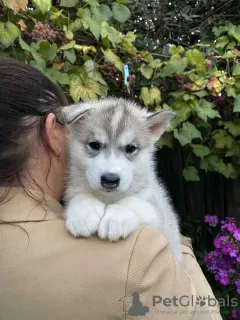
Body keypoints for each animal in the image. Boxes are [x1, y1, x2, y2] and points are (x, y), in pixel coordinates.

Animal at [62, 98, 182, 262]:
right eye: (94, 145)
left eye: (130, 148)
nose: (110, 179)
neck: (108, 198)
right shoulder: (73, 190)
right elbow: (80, 196)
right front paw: (83, 214)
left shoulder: (158, 214)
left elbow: (135, 202)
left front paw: (117, 217)